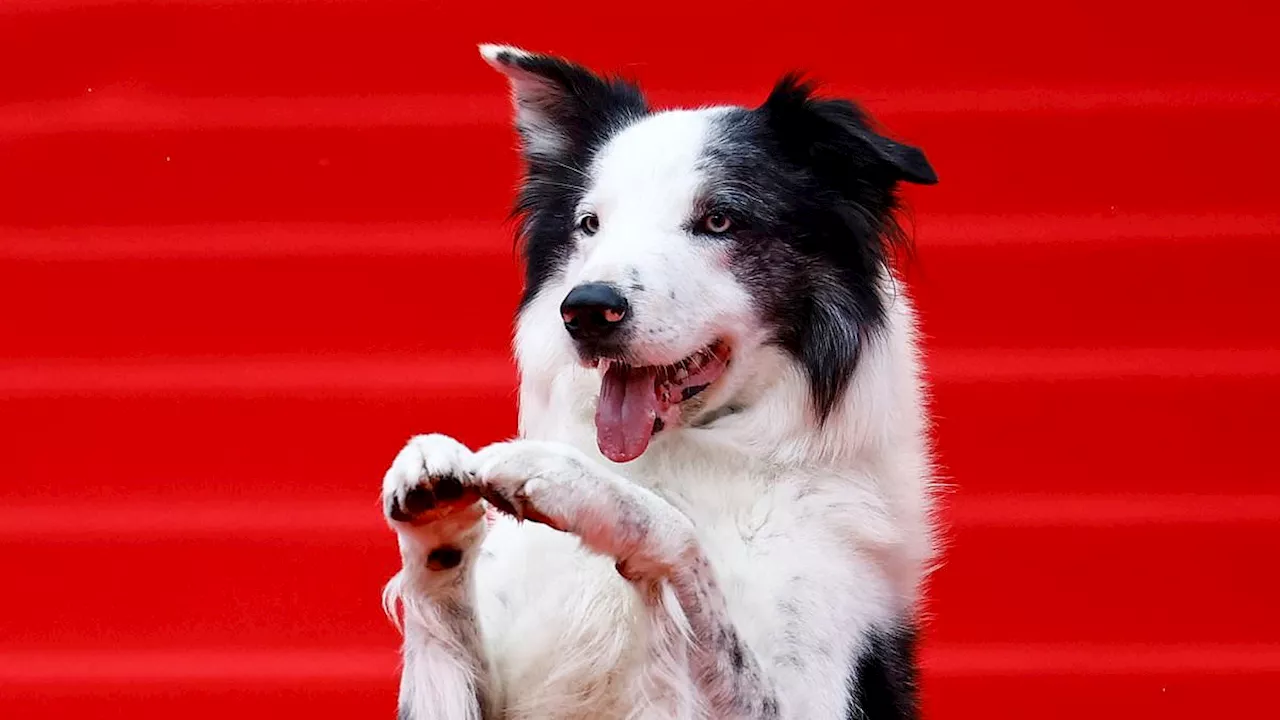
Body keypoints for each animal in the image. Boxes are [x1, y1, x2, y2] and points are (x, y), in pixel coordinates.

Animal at [378, 46, 942, 717]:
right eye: (590, 224)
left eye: (720, 220)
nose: (586, 310)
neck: (681, 452)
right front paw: (434, 514)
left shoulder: (806, 694)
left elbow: (679, 536)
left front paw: (583, 489)